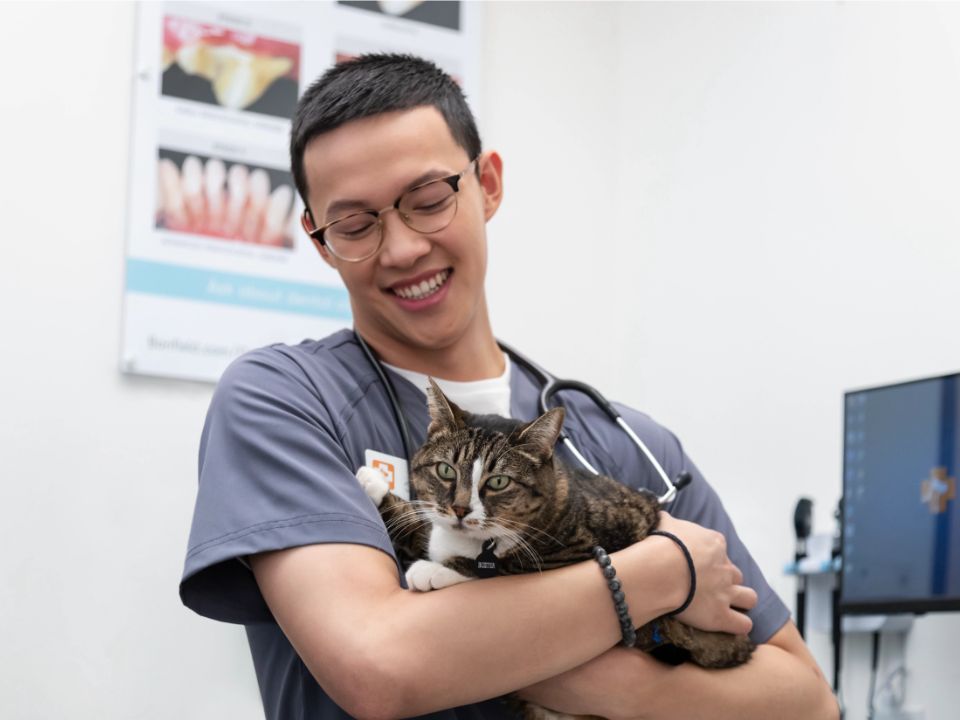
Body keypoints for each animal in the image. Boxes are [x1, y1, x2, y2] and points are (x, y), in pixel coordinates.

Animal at [356, 382, 752, 716]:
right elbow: (423, 524)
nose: (459, 509)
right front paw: (373, 484)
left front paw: (436, 569)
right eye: (445, 471)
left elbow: (500, 567)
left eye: (498, 482)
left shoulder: (579, 549)